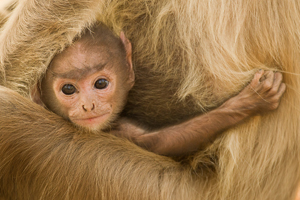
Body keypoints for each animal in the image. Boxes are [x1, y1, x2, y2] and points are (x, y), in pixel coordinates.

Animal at [32, 23, 286, 157]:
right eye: (68, 89)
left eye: (101, 84)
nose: (88, 105)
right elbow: (160, 143)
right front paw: (247, 103)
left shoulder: (122, 128)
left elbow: (157, 142)